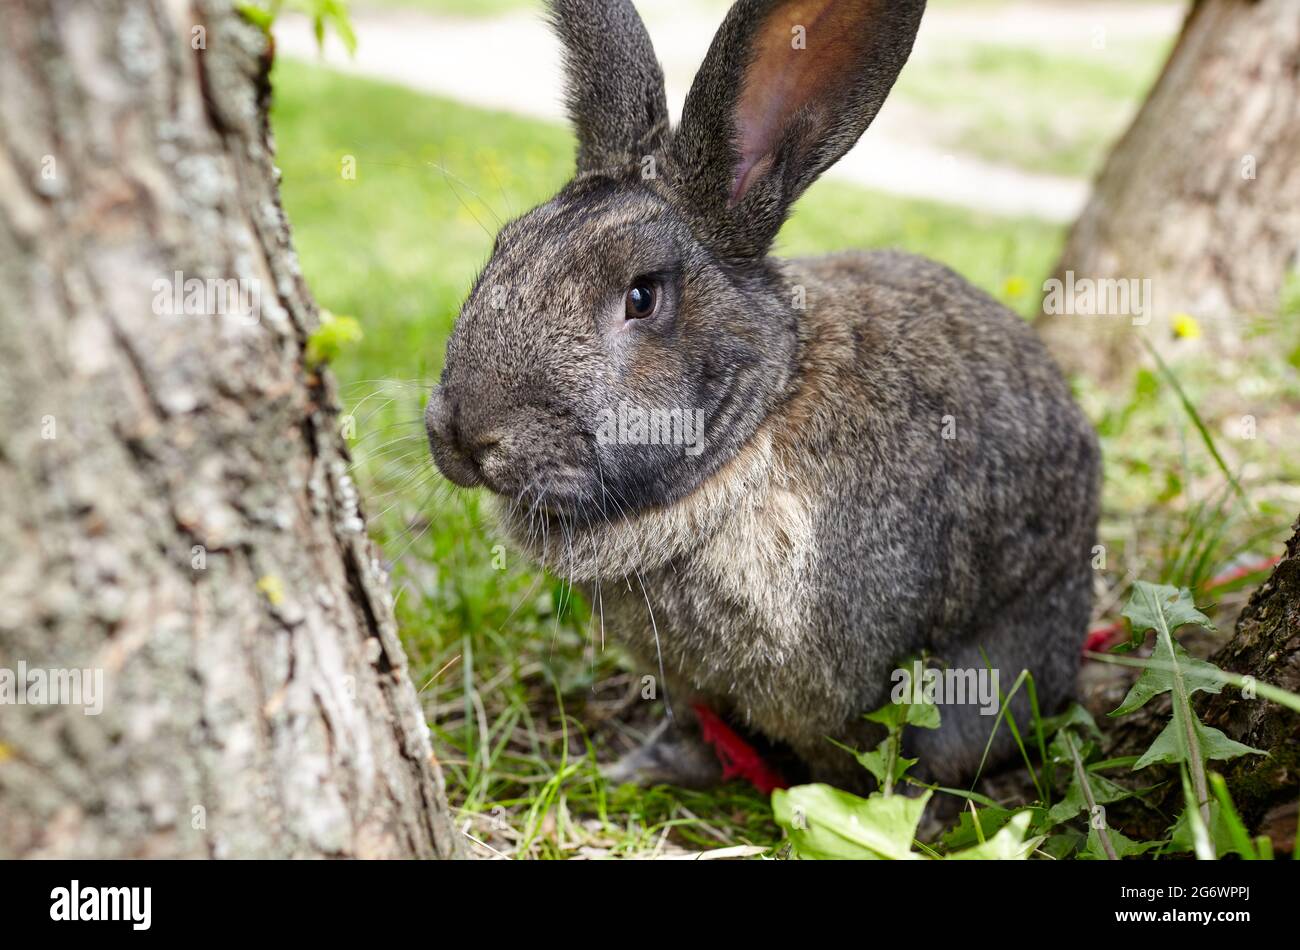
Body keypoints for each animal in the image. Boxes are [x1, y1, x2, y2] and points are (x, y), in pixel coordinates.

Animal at [423, 0, 1097, 790]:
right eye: (504, 248)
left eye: (642, 296)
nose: (463, 434)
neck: (757, 424)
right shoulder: (689, 684)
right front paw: (649, 768)